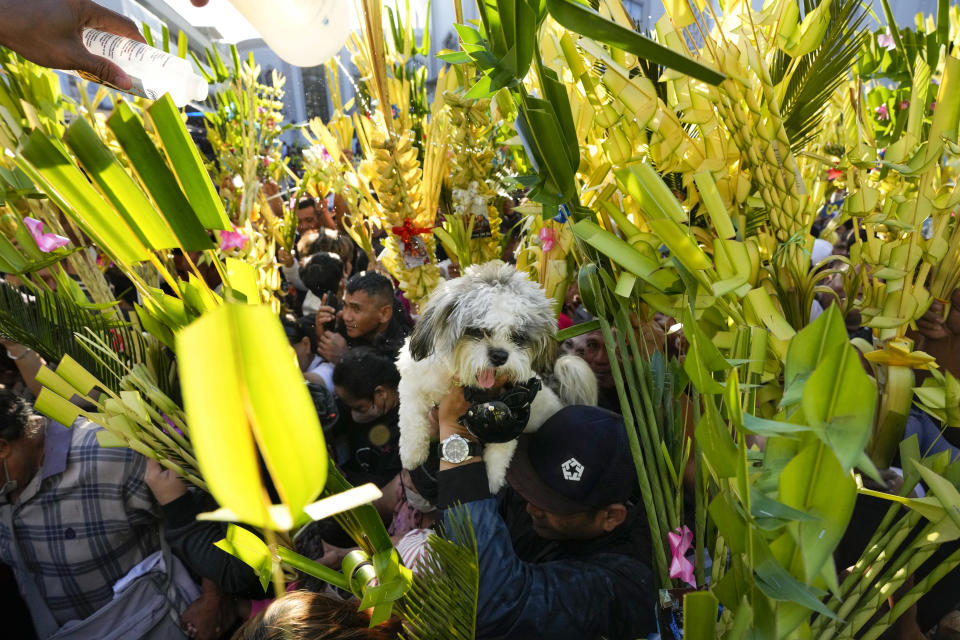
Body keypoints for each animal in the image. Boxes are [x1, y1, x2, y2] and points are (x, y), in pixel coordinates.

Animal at [396, 260, 592, 490]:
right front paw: (412, 453)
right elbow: (411, 417)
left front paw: (492, 480)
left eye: (518, 337)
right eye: (477, 330)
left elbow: (501, 448)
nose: (500, 355)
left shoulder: (515, 409)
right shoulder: (414, 381)